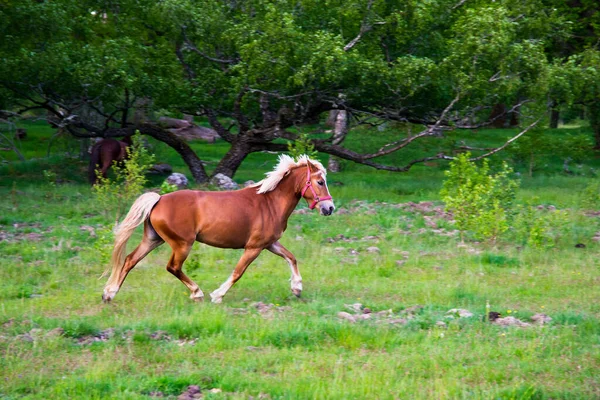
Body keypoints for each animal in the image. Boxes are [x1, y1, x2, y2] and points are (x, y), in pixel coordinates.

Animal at [103, 154, 338, 304]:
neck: (270, 202)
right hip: (182, 244)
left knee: (130, 260)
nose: (329, 208)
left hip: (153, 239)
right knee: (173, 267)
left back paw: (109, 294)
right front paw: (217, 295)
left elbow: (291, 257)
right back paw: (197, 293)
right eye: (320, 181)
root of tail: (158, 199)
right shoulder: (254, 247)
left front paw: (297, 288)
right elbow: (238, 272)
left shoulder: (270, 243)